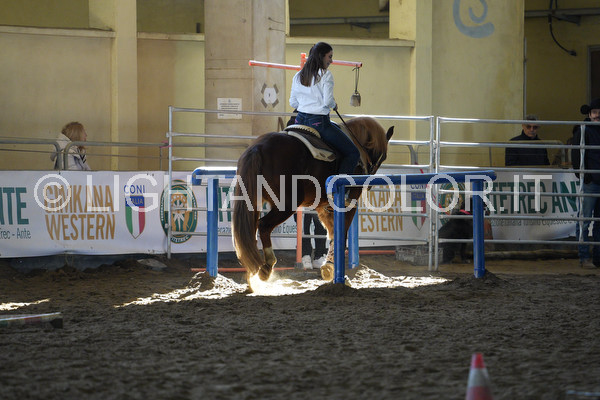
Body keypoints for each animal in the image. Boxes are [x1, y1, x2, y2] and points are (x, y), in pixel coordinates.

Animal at [231, 116, 394, 285]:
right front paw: (330, 266)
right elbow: (340, 234)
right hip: (287, 204)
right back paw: (266, 266)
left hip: (254, 201)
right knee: (263, 225)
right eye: (383, 155)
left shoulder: (323, 207)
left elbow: (332, 232)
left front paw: (329, 267)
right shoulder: (349, 203)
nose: (370, 183)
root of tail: (258, 148)